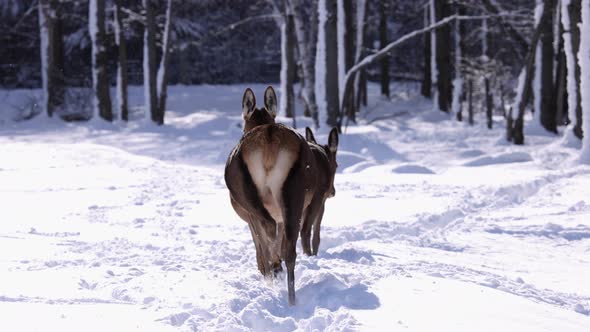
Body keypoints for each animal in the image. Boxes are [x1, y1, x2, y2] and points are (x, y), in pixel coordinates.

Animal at [224, 86, 314, 306]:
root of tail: (269, 137)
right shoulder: (280, 213)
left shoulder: (249, 216)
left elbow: (258, 245)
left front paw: (267, 271)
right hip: (294, 194)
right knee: (289, 249)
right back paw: (291, 298)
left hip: (249, 198)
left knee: (268, 230)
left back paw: (274, 271)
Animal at [302, 126, 340, 255]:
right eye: (336, 165)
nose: (332, 192)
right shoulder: (321, 201)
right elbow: (317, 236)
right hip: (315, 197)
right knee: (305, 230)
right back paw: (309, 256)